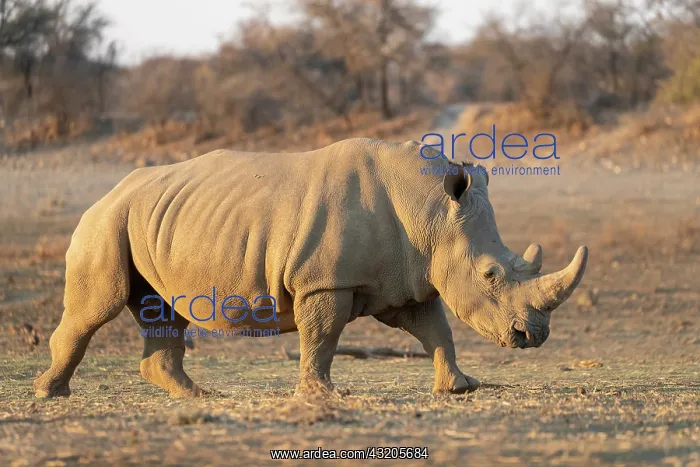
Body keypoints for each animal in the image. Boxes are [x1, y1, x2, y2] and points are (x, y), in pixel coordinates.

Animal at [34, 138, 588, 398]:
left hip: (150, 218)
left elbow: (435, 329)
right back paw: (50, 393)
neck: (431, 211)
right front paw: (324, 394)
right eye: (491, 275)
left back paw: (197, 395)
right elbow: (322, 336)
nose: (533, 336)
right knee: (97, 307)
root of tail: (110, 191)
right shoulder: (324, 281)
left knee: (162, 309)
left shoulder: (409, 276)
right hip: (106, 222)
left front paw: (460, 387)